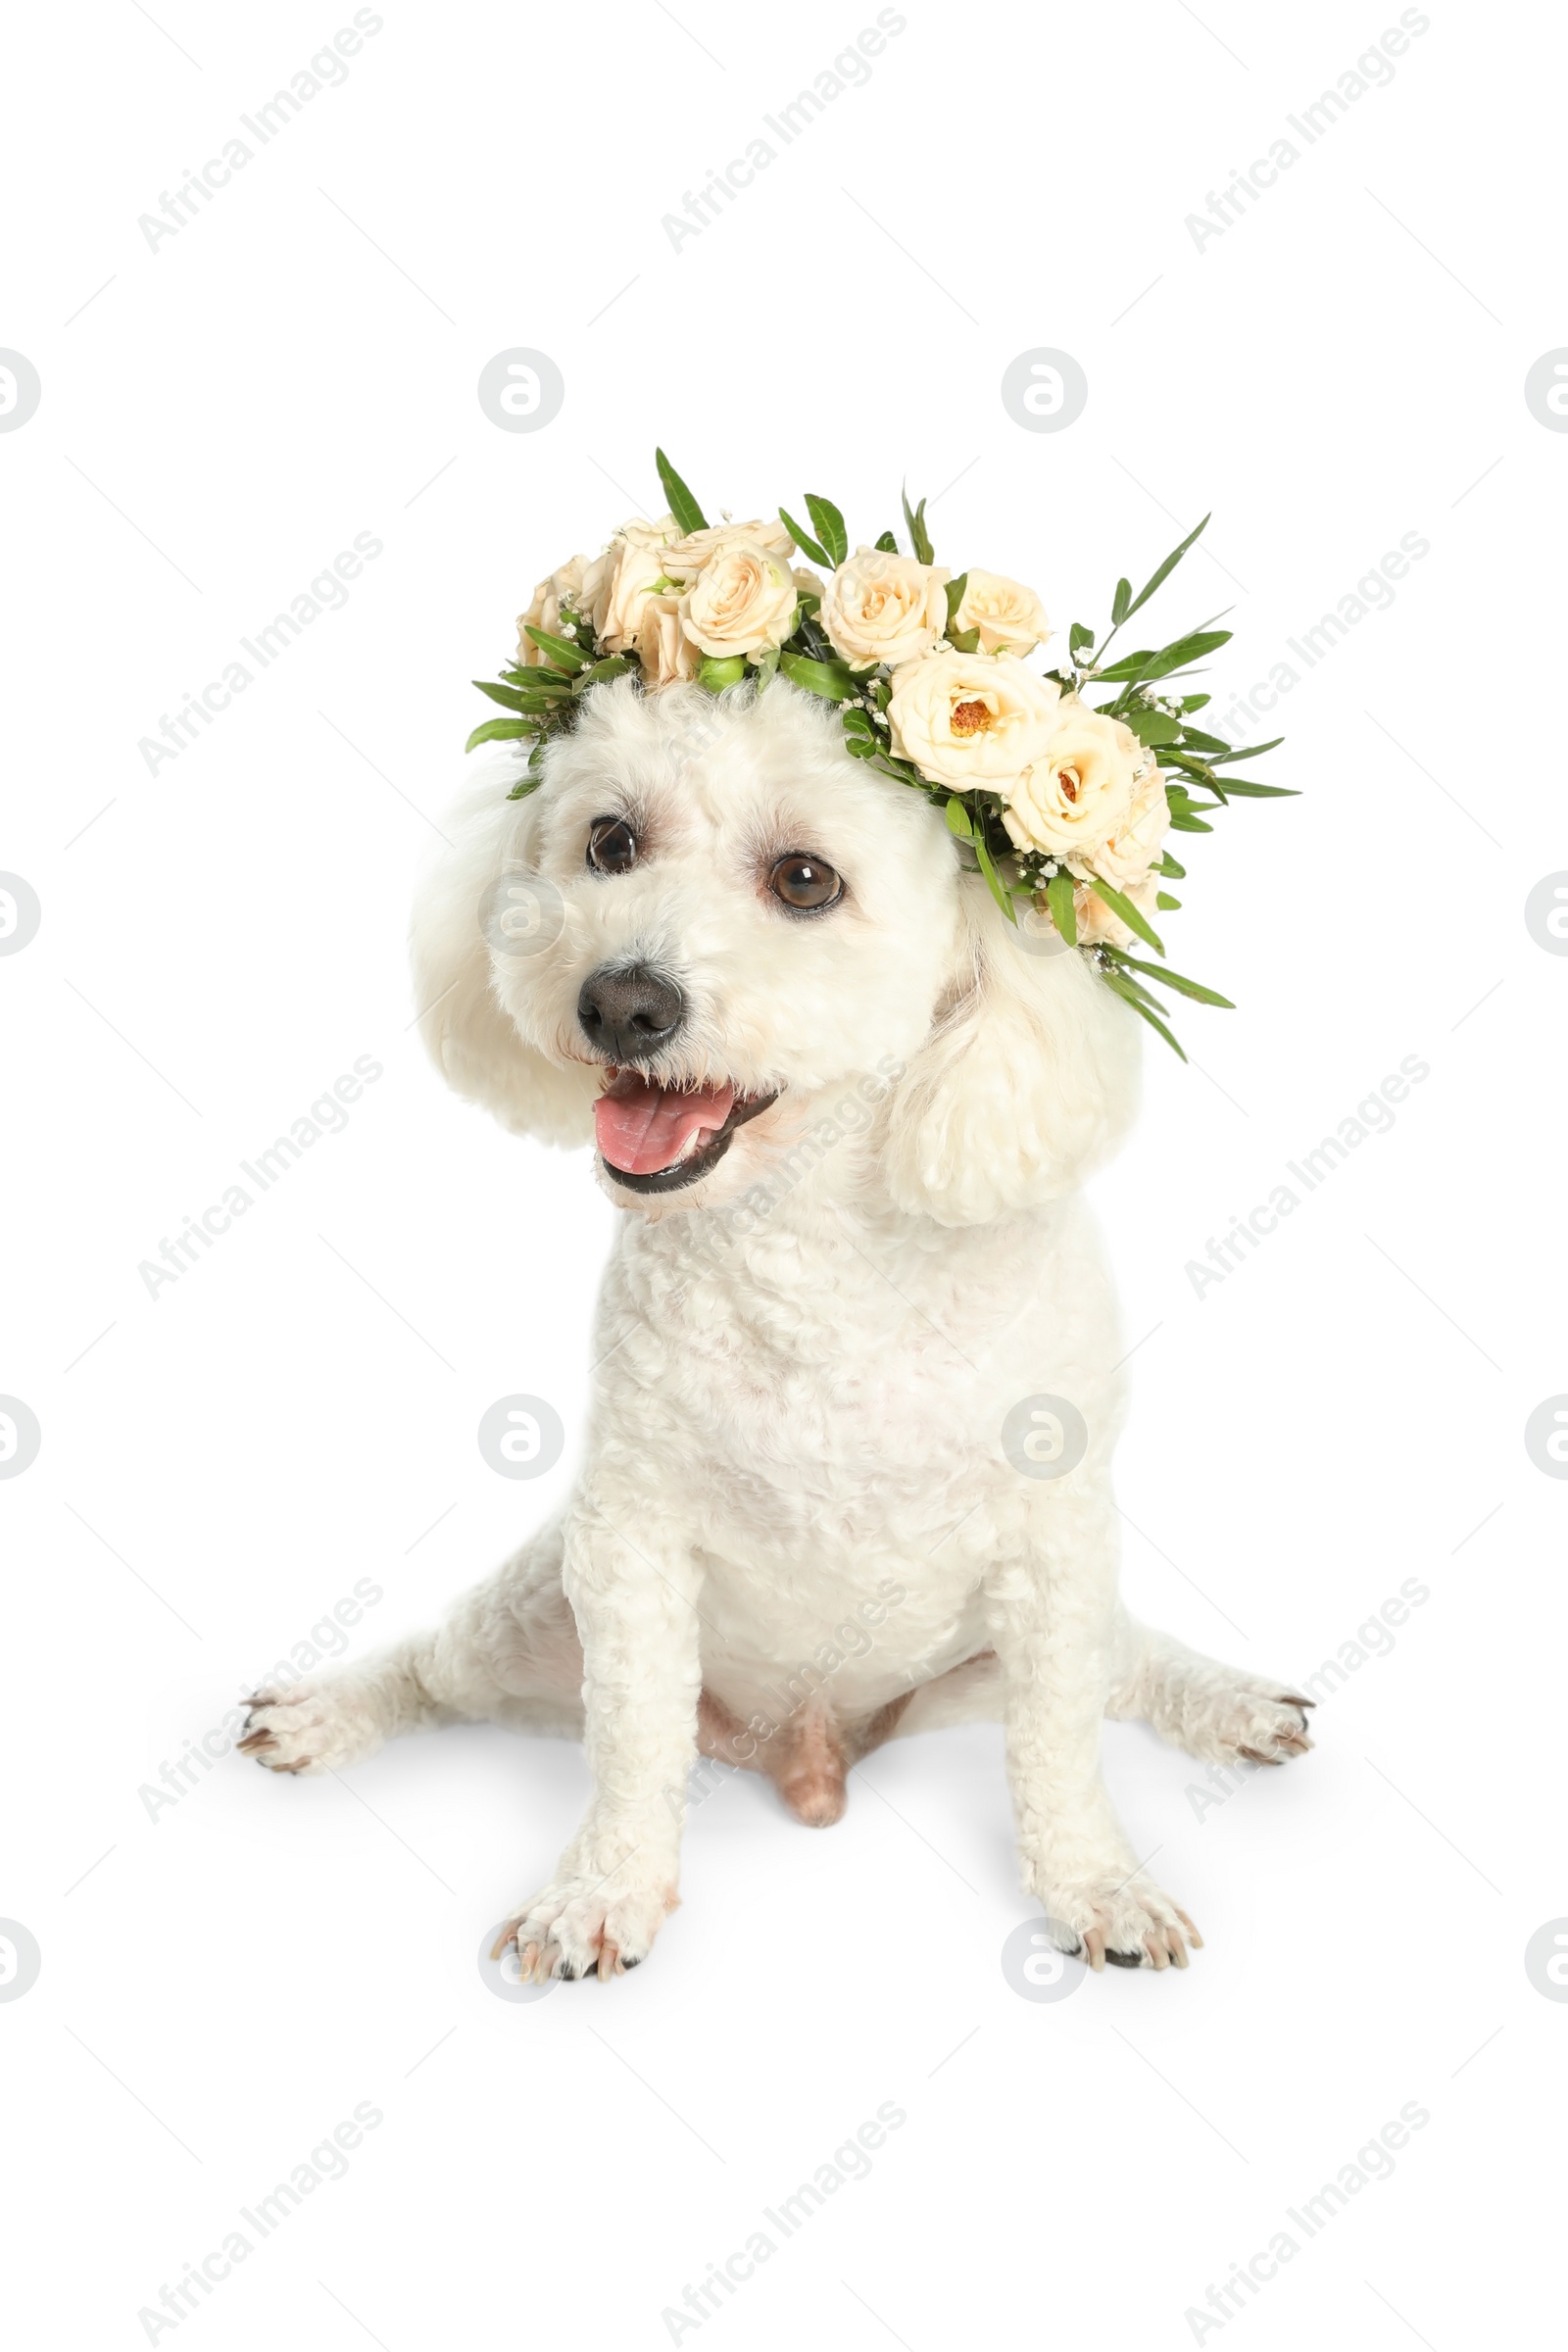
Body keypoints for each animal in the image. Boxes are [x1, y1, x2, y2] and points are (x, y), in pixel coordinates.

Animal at [239, 677, 1316, 1966]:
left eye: (805, 879)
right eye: (610, 843)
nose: (621, 1001)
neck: (813, 1255)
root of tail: (811, 1751)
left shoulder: (1053, 1550)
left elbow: (1059, 1751)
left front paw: (1097, 1883)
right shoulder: (629, 1546)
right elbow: (633, 1740)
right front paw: (603, 1890)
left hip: (987, 1651)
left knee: (1123, 1661)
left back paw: (1230, 1704)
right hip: (541, 1608)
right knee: (437, 1670)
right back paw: (326, 1711)